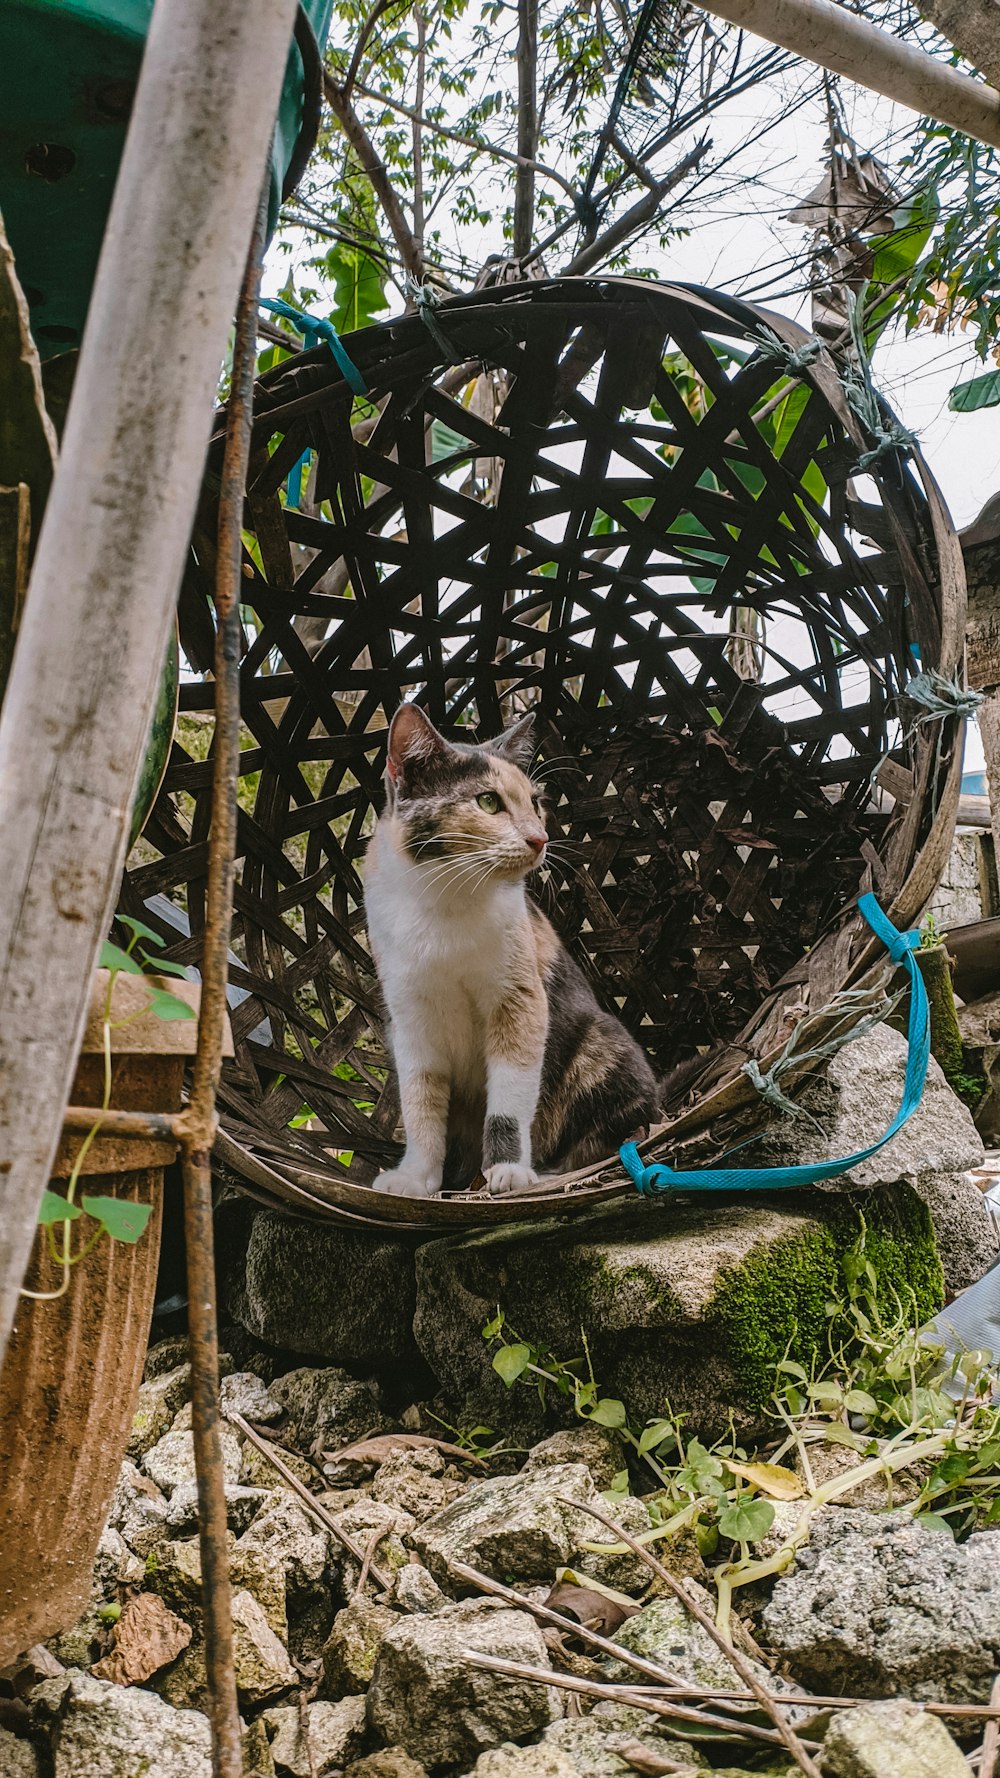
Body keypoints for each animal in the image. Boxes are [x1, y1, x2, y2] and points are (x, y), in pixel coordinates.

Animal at [361, 704, 658, 1194]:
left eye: (535, 803)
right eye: (487, 802)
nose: (540, 839)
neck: (444, 902)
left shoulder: (520, 1001)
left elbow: (510, 1096)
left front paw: (508, 1169)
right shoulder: (410, 1019)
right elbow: (420, 1101)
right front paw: (416, 1177)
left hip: (601, 1040)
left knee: (629, 1124)